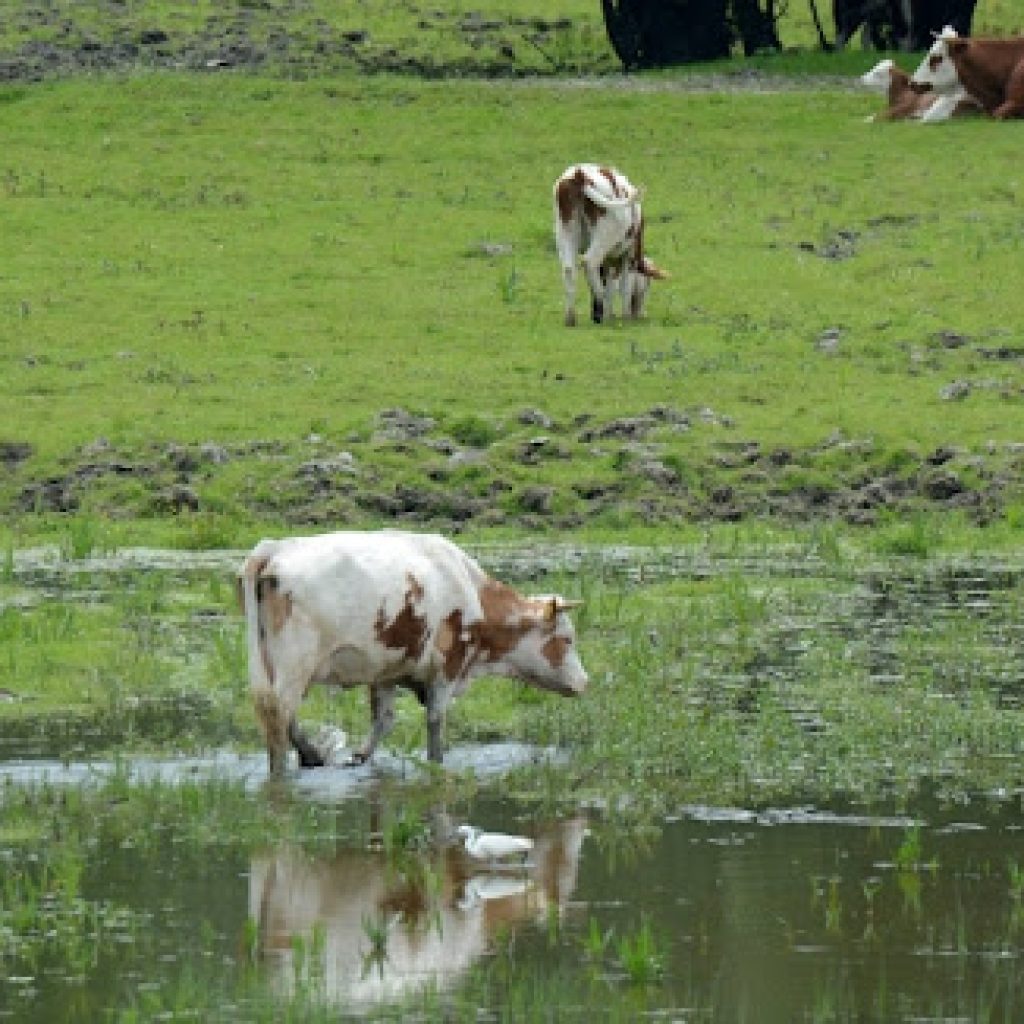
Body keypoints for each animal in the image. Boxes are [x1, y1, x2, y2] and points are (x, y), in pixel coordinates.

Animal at [236, 532, 589, 770]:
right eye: (567, 639)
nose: (585, 682)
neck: (470, 589)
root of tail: (275, 547)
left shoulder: (384, 670)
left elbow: (383, 719)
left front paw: (360, 756)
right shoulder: (447, 668)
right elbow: (435, 720)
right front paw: (436, 764)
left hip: (271, 662)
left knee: (277, 711)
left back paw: (310, 754)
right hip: (296, 663)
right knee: (280, 712)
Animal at [548, 162, 667, 327]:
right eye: (648, 283)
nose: (640, 314)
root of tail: (580, 173)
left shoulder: (608, 261)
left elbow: (609, 284)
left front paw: (610, 314)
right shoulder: (629, 256)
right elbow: (624, 287)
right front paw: (625, 316)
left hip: (565, 231)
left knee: (569, 269)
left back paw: (571, 318)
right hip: (605, 234)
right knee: (589, 262)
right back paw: (599, 310)